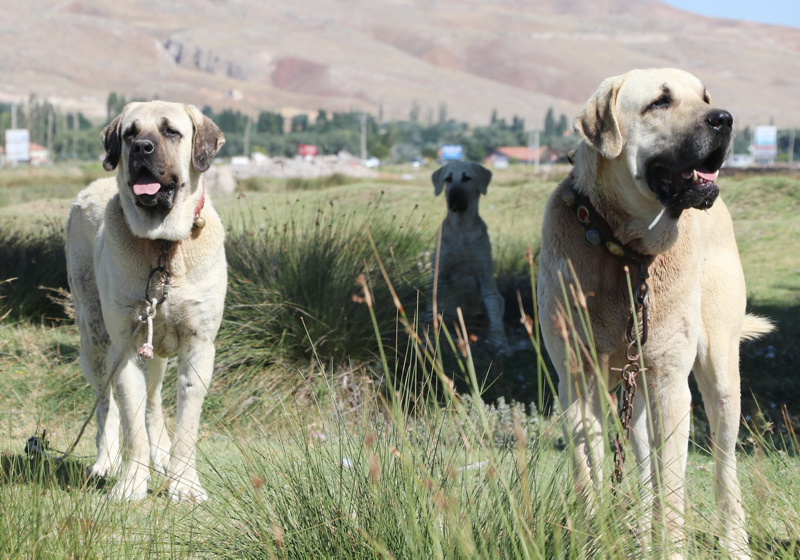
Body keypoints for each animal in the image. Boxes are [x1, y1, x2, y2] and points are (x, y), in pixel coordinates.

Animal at [67, 101, 227, 504]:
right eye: (130, 133)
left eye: (171, 131)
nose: (141, 148)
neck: (163, 245)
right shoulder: (125, 346)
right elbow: (131, 421)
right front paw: (131, 484)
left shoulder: (198, 344)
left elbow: (186, 425)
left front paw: (185, 485)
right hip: (96, 340)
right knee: (106, 405)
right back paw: (106, 462)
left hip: (154, 353)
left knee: (154, 404)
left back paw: (163, 458)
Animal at [428, 162, 510, 354]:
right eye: (448, 179)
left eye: (467, 178)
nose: (453, 196)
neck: (462, 229)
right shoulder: (440, 273)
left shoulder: (485, 276)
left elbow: (493, 309)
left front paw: (499, 341)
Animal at [540, 69, 772, 556]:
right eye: (659, 102)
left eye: (705, 97)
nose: (724, 118)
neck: (624, 248)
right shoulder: (577, 380)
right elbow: (588, 476)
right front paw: (595, 540)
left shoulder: (670, 383)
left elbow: (673, 490)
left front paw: (673, 546)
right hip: (637, 396)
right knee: (645, 469)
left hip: (720, 375)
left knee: (724, 467)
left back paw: (734, 542)